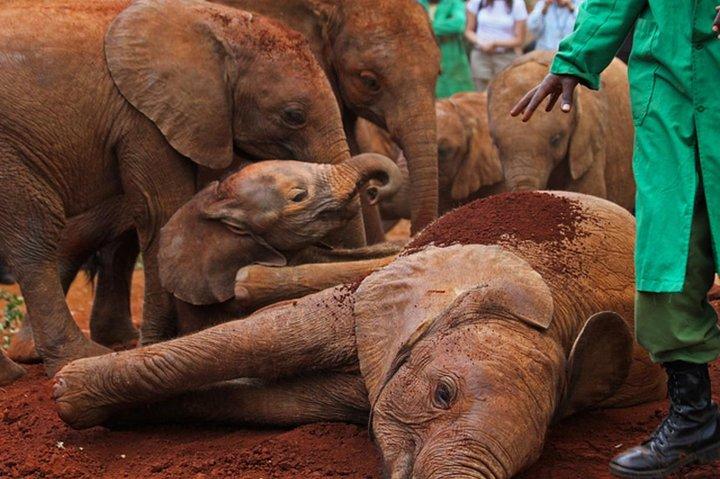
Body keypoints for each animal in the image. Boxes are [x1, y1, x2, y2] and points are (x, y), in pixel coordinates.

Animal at [0, 0, 359, 377]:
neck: (212, 21)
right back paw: (77, 357)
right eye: (293, 115)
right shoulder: (142, 119)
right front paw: (162, 341)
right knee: (34, 236)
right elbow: (161, 210)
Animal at [52, 191, 666, 478]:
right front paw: (67, 394)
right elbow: (275, 336)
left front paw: (104, 411)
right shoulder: (387, 295)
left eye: (538, 449)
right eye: (442, 395)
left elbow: (276, 404)